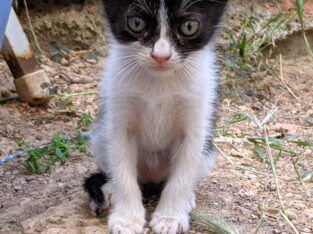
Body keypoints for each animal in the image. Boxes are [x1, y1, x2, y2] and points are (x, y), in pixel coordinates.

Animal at [84, 0, 228, 233]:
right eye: (136, 23)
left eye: (189, 26)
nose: (161, 55)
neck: (159, 81)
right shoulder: (118, 114)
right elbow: (122, 171)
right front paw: (127, 219)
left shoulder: (197, 117)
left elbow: (182, 176)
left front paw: (170, 218)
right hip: (99, 136)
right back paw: (109, 190)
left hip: (207, 152)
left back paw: (186, 198)